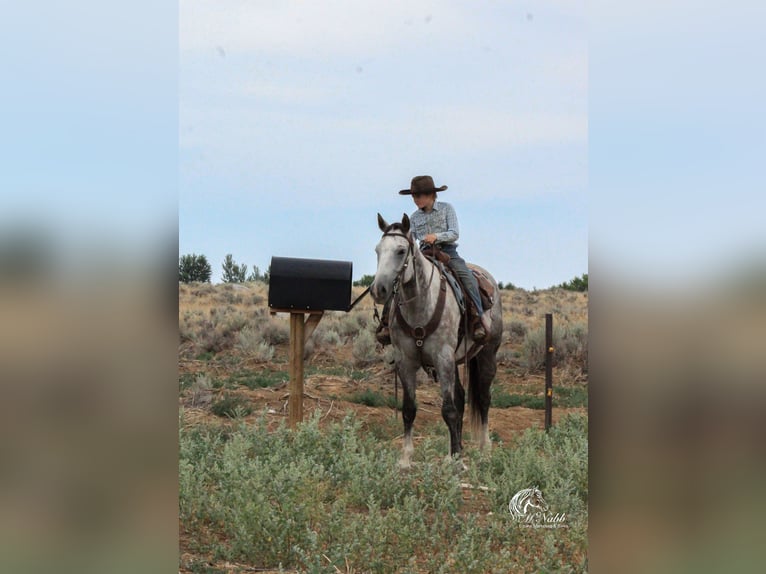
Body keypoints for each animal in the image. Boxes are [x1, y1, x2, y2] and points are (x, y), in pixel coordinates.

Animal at [370, 214, 504, 470]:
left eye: (401, 250)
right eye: (377, 250)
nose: (379, 289)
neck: (421, 305)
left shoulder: (442, 358)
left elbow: (449, 410)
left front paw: (457, 463)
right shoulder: (406, 362)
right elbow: (409, 409)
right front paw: (406, 458)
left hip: (486, 355)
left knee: (483, 399)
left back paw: (484, 449)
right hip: (456, 362)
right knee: (461, 397)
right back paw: (457, 451)